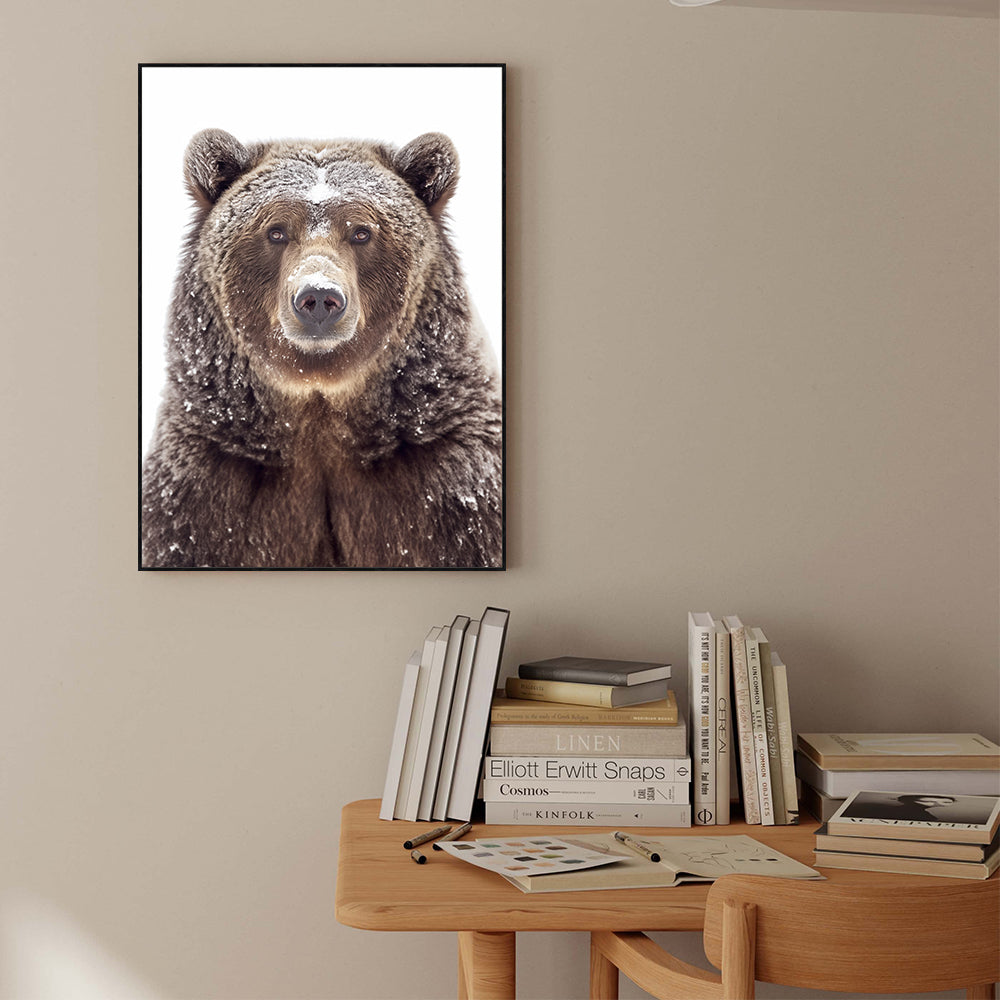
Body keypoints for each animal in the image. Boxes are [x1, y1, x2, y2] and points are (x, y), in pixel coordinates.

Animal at [141, 129, 503, 569]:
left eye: (362, 231)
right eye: (276, 231)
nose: (317, 297)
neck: (320, 407)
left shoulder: (446, 478)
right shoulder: (209, 481)